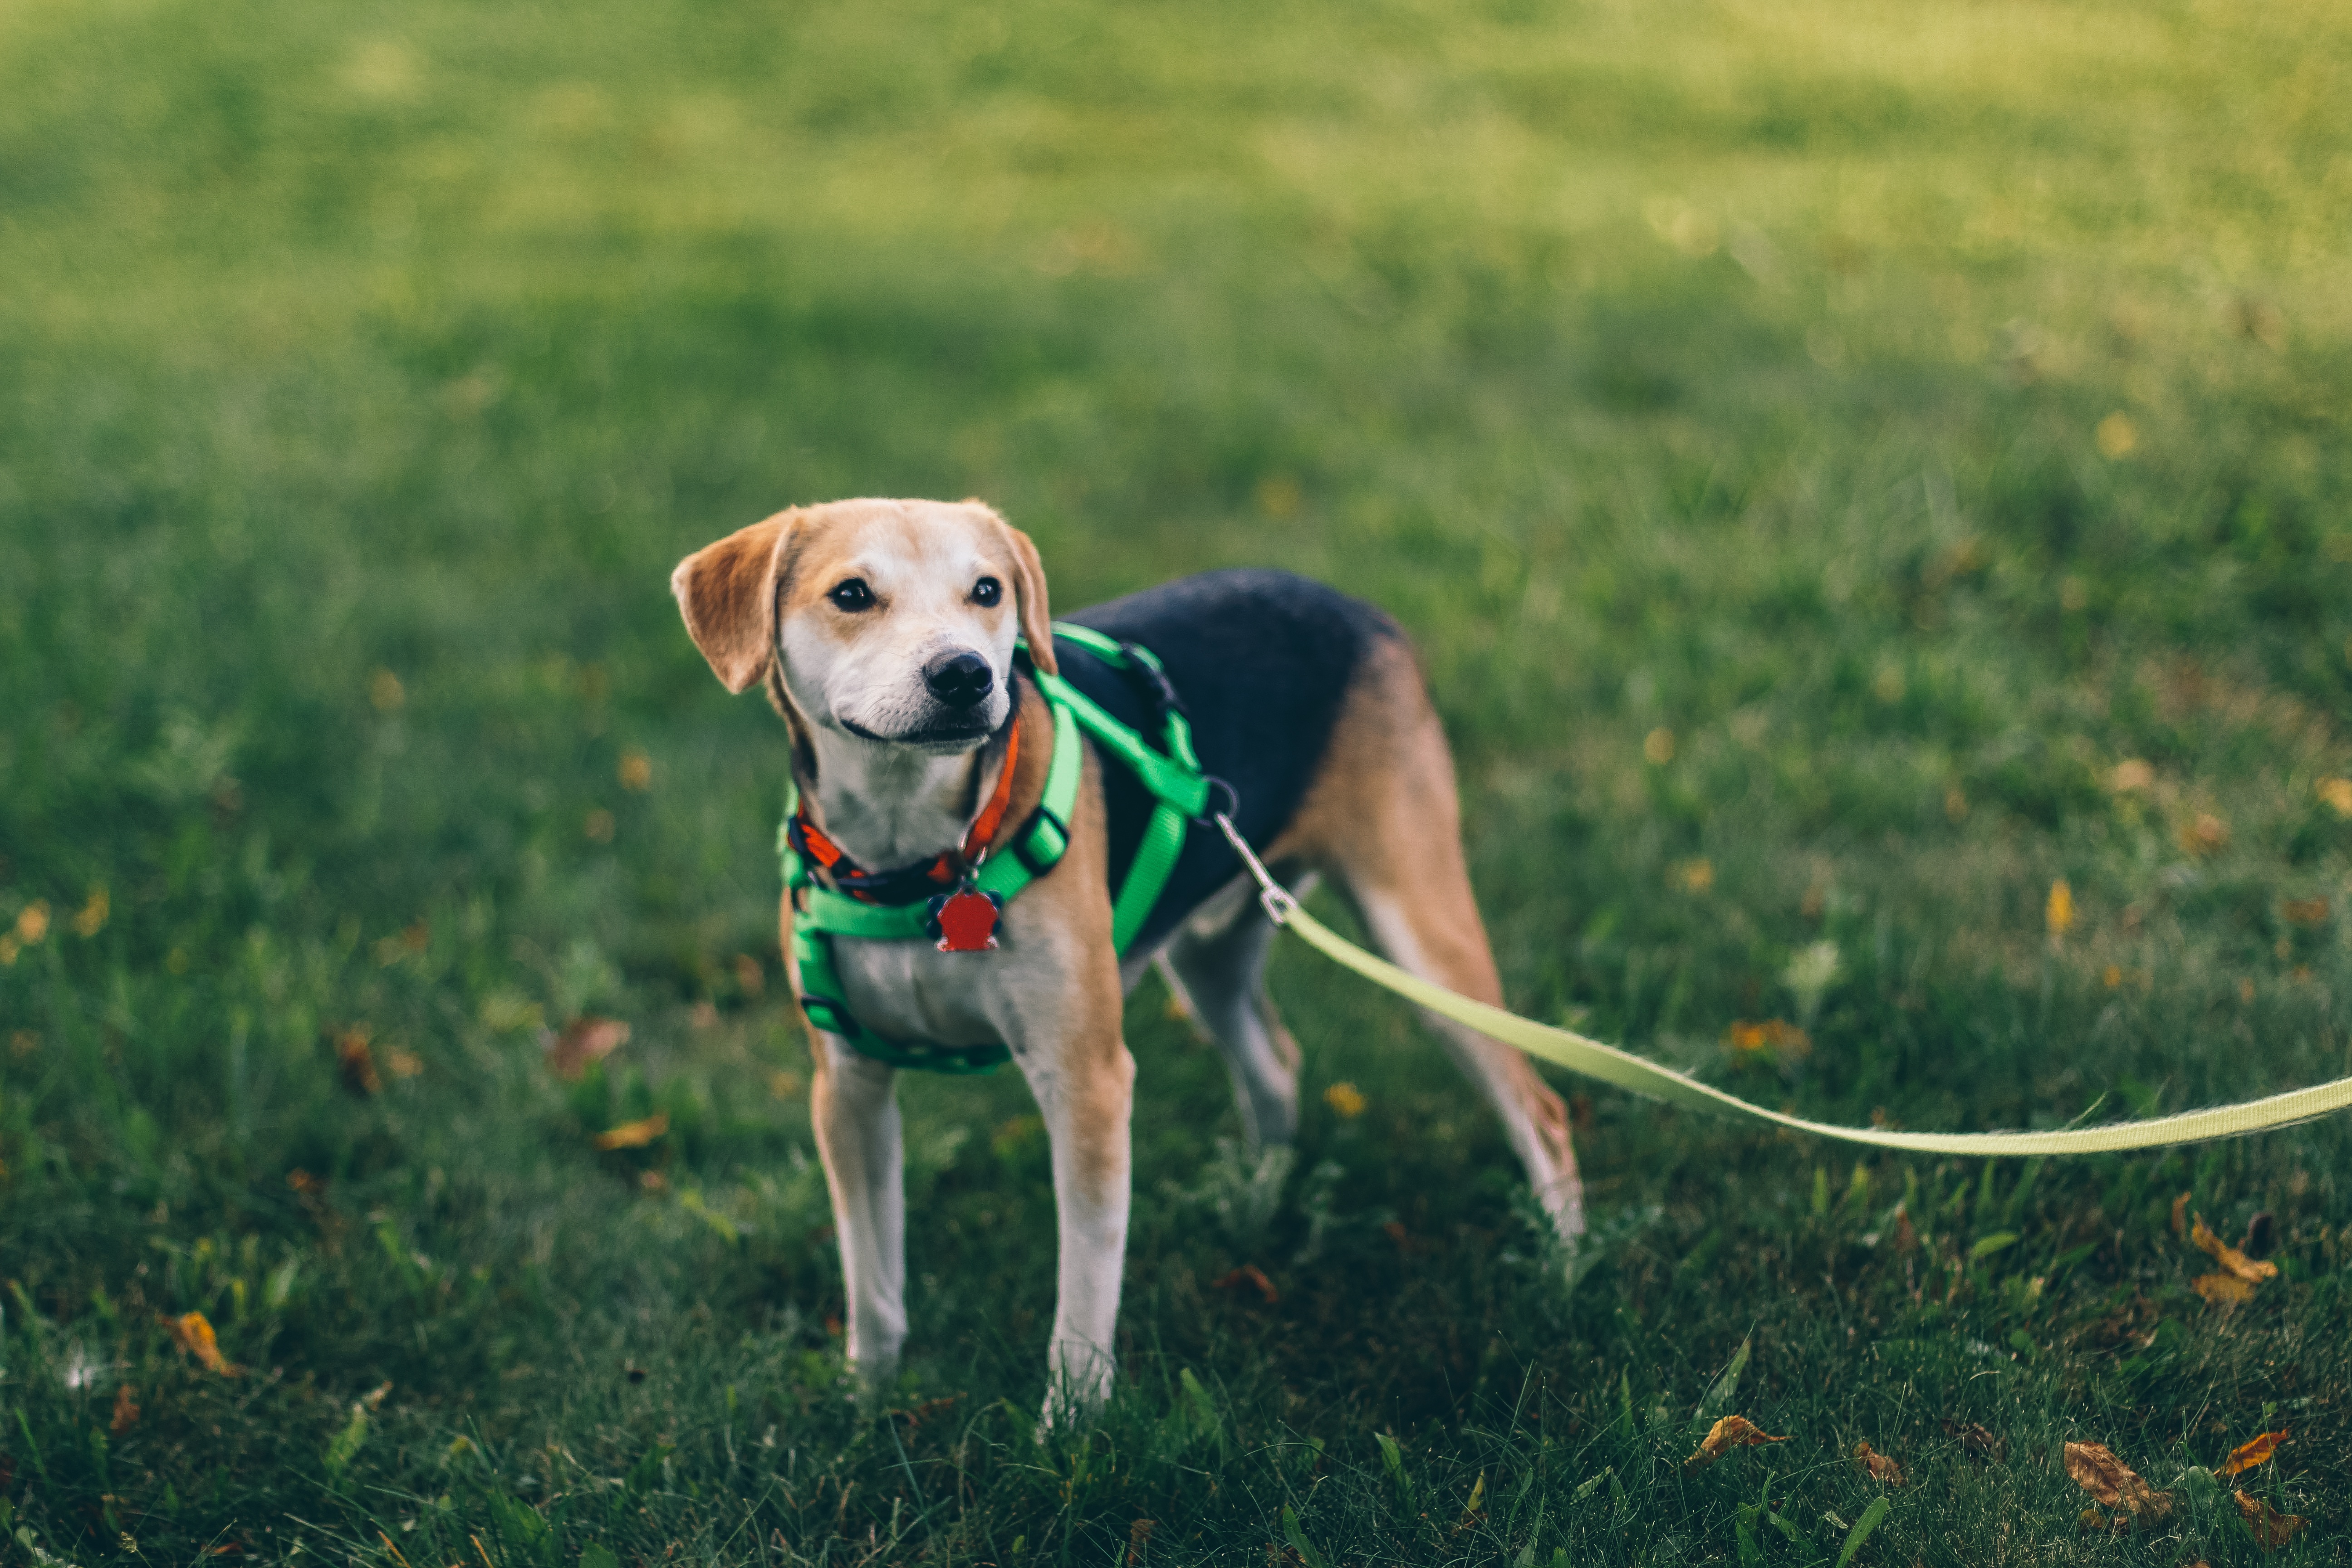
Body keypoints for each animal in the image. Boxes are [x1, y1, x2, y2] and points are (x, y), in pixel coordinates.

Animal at [668, 496, 1580, 1420]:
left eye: (987, 591)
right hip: (1211, 955)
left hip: (1420, 931)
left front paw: (1071, 1425)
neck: (919, 858)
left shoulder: (1087, 1080)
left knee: (1539, 1110)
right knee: (1275, 1063)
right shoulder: (847, 1087)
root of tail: (1350, 605)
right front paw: (867, 1398)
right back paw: (1258, 1203)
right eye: (851, 594)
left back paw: (1563, 1270)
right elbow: (872, 1274)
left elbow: (1085, 1283)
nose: (966, 675)